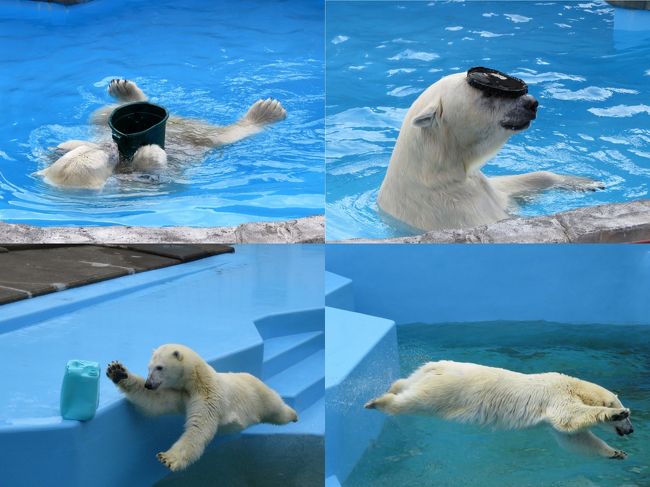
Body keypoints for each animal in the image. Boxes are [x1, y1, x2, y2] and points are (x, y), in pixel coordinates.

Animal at [37, 80, 286, 189]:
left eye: (99, 151)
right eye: (107, 159)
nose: (110, 147)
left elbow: (64, 147)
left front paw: (64, 146)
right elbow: (155, 170)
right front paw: (149, 153)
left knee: (102, 113)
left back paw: (125, 91)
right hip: (200, 137)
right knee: (223, 136)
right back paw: (266, 112)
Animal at [105, 344, 296, 472]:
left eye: (159, 367)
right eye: (148, 367)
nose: (149, 384)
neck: (198, 379)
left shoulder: (209, 397)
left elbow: (198, 429)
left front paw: (167, 458)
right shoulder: (181, 394)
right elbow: (155, 400)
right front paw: (117, 371)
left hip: (259, 396)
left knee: (277, 409)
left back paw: (293, 414)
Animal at [364, 362, 632, 462]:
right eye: (628, 416)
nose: (630, 430)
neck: (574, 386)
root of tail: (433, 367)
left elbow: (573, 438)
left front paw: (616, 453)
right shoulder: (556, 395)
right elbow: (569, 417)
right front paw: (610, 415)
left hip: (426, 378)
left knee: (404, 384)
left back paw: (392, 387)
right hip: (445, 391)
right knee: (412, 401)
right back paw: (377, 402)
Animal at [374, 69, 604, 234]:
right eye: (489, 93)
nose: (531, 103)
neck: (437, 172)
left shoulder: (484, 187)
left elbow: (514, 185)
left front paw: (587, 182)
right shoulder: (453, 207)